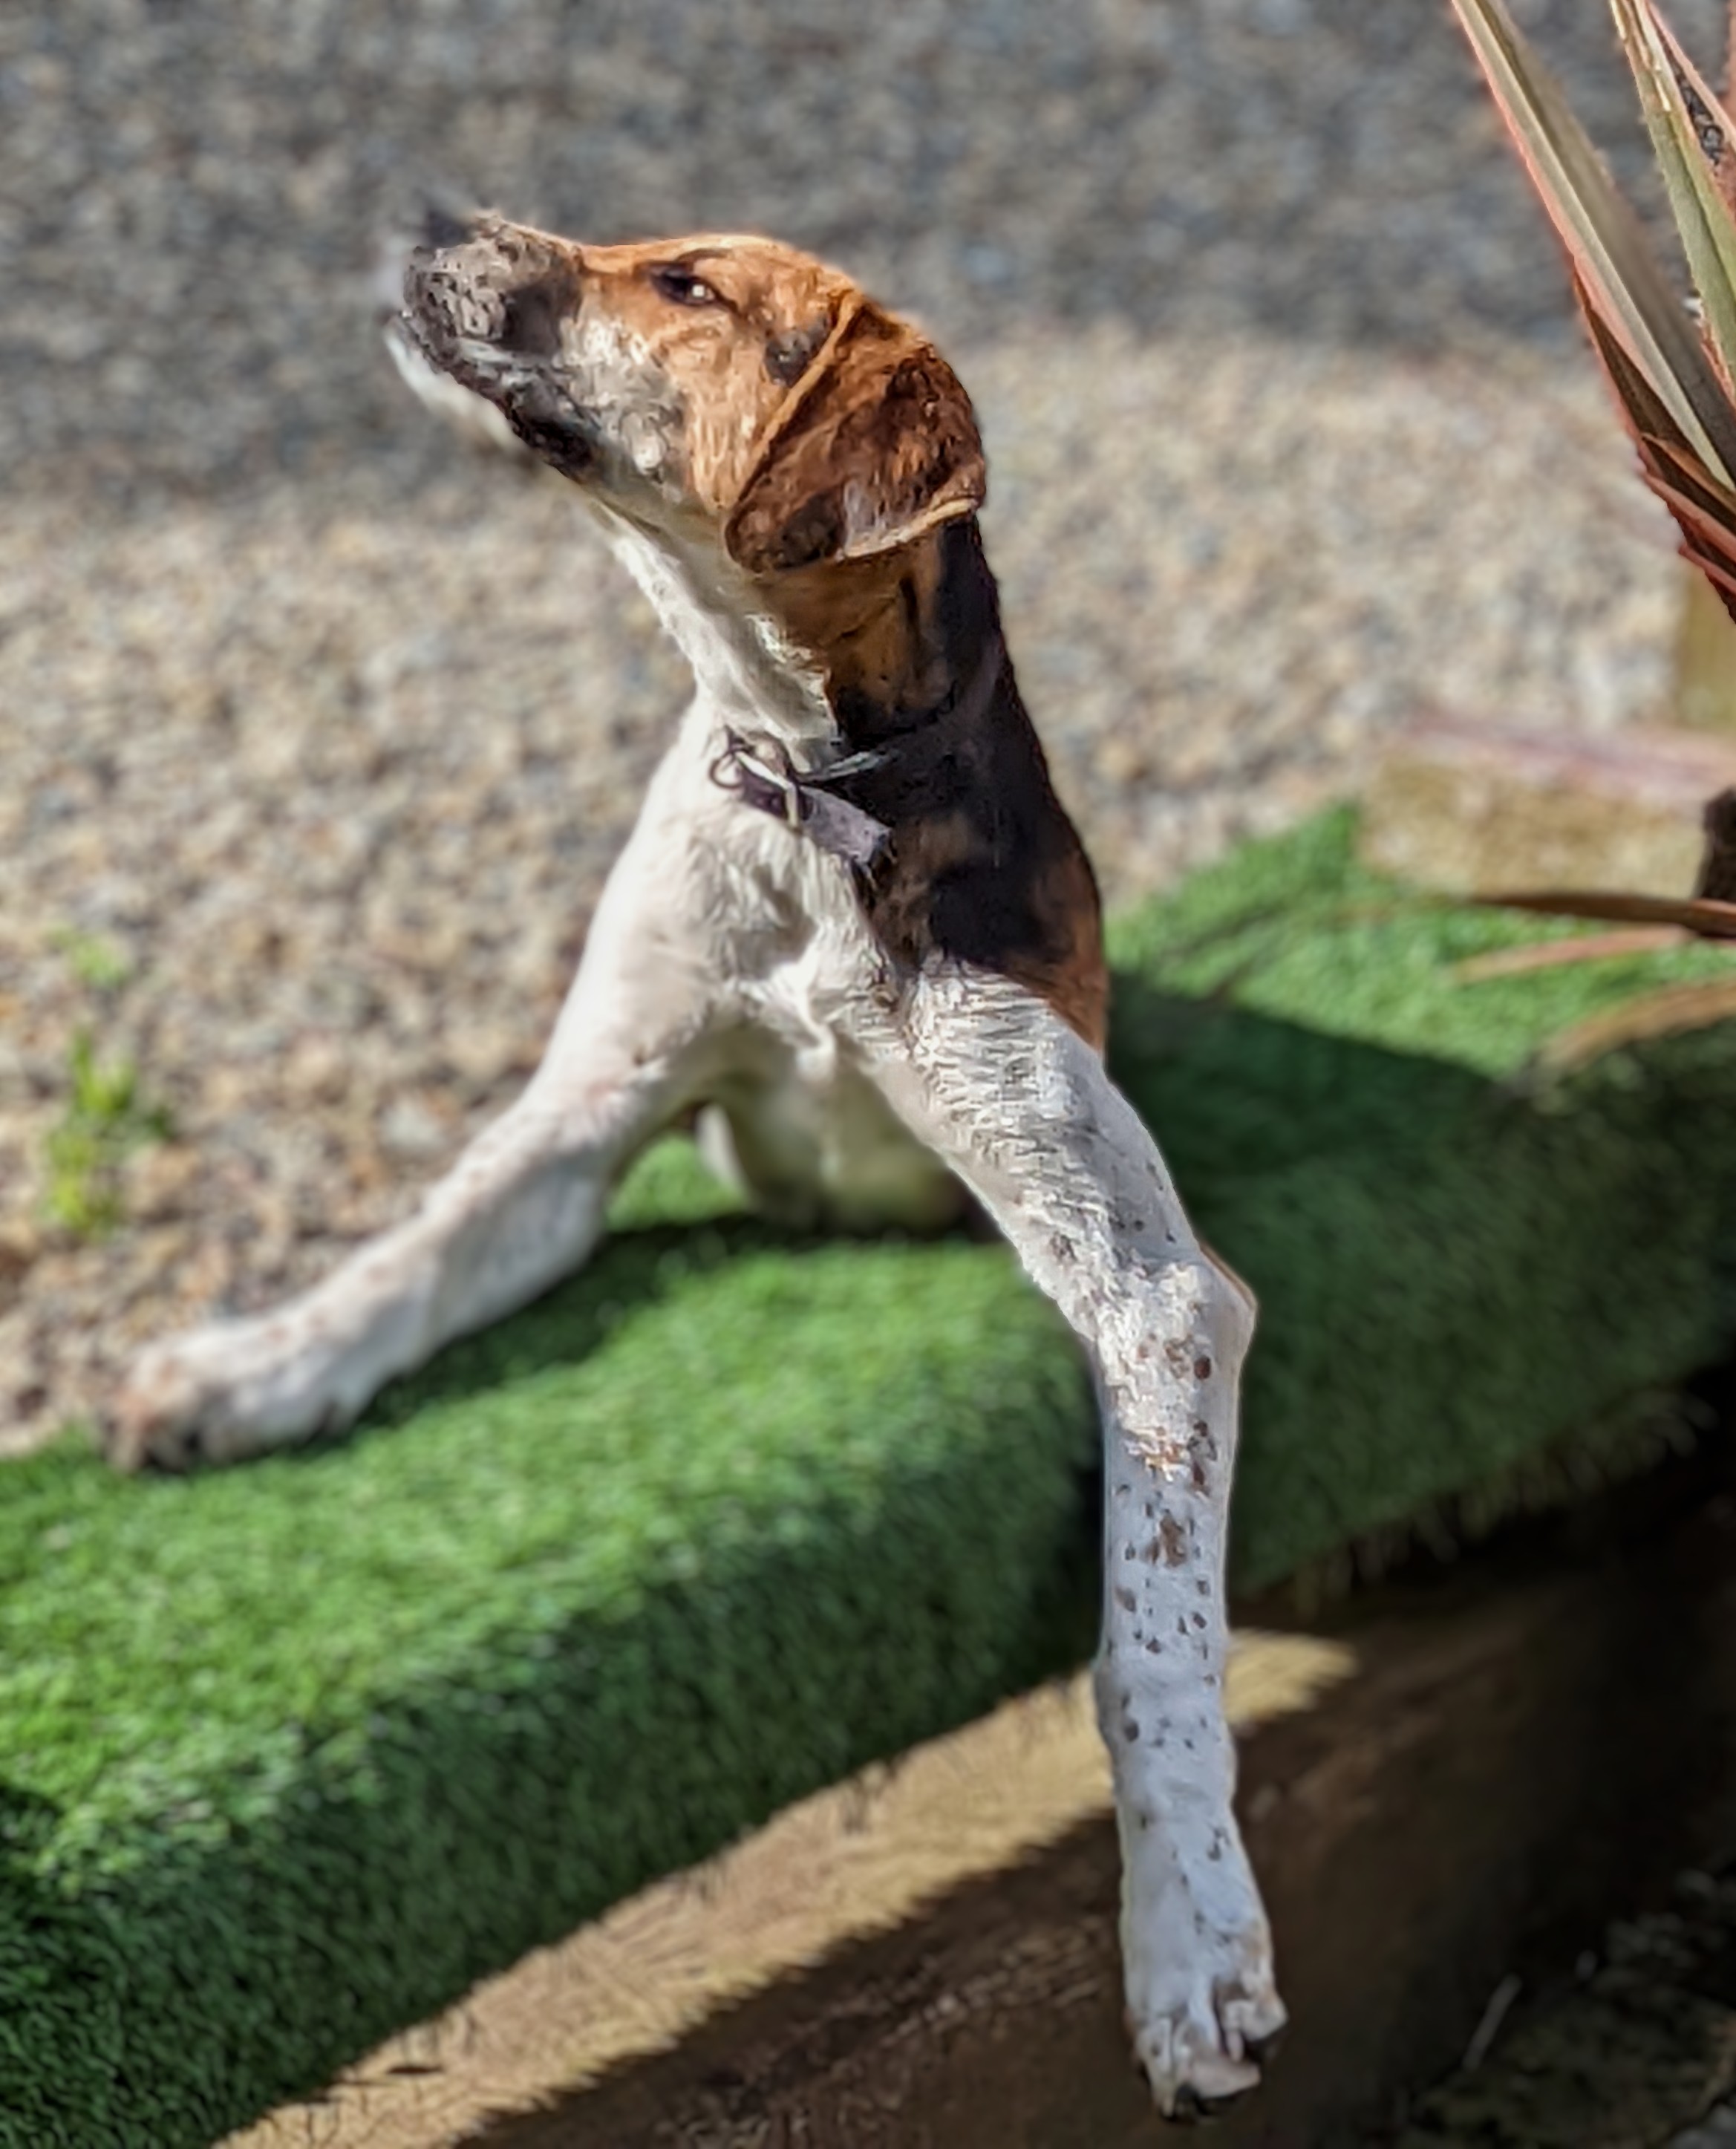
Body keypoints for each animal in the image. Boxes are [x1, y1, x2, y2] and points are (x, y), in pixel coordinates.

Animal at [104, 211, 1286, 2115]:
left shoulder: (1153, 1290)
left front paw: (1190, 1937)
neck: (802, 778)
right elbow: (402, 1267)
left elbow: (1150, 1646)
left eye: (686, 288)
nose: (422, 219)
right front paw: (237, 1376)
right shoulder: (581, 1123)